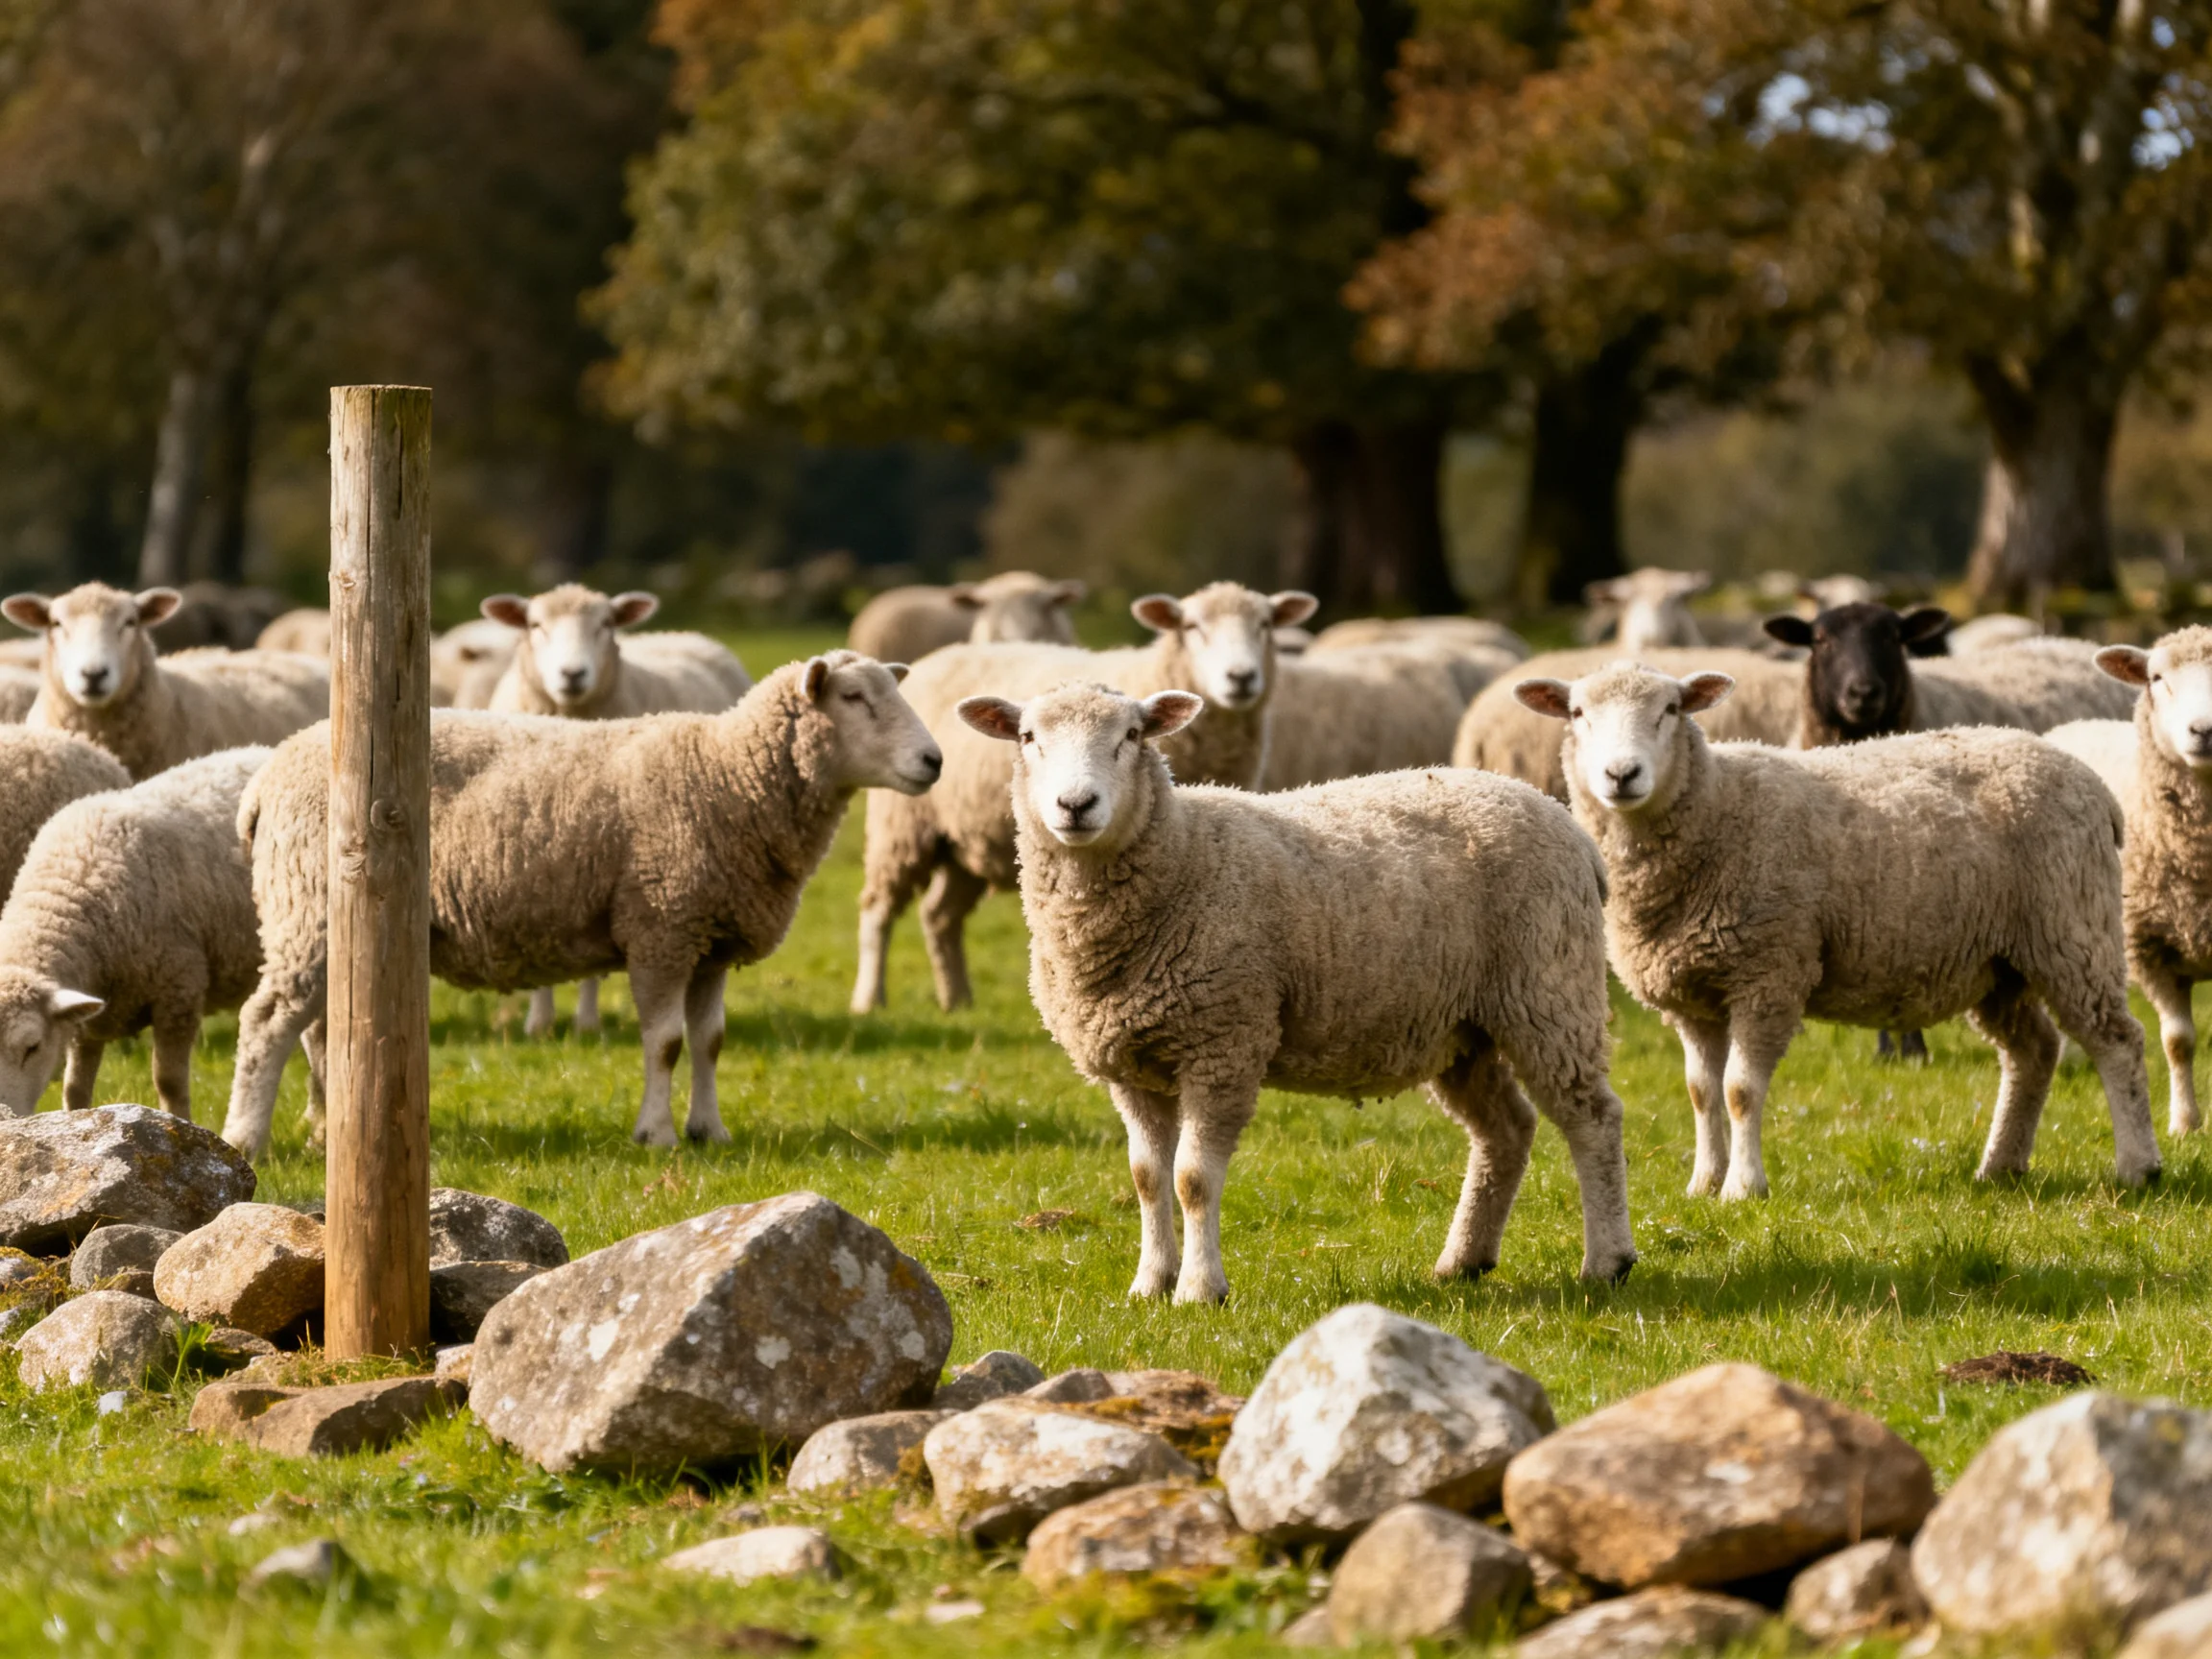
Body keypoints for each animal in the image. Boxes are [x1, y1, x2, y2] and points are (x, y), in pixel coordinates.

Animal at [0, 748, 283, 1124]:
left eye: (32, 1047)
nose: (4, 1115)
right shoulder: (88, 1021)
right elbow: (75, 1088)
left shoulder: (179, 989)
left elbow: (169, 1081)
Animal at [221, 652, 941, 1158]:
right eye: (853, 698)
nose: (934, 760)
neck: (728, 776)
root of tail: (268, 777)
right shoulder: (661, 925)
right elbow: (667, 1043)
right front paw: (657, 1135)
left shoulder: (708, 937)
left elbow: (710, 1042)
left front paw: (709, 1130)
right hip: (308, 906)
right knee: (267, 1023)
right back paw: (245, 1138)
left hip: (323, 924)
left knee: (316, 1029)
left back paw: (325, 1127)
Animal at [850, 582, 1316, 1014]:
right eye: (1192, 627)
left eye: (1265, 625)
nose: (1241, 678)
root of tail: (942, 655)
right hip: (903, 824)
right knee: (877, 911)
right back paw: (870, 999)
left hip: (964, 840)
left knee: (939, 915)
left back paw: (957, 1000)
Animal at [955, 680, 1635, 1301]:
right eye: (1028, 737)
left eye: (1132, 736)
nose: (1076, 804)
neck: (1183, 855)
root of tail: (1568, 825)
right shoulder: (1131, 1062)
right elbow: (1147, 1177)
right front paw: (1149, 1284)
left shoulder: (1225, 1042)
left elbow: (1192, 1179)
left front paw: (1200, 1289)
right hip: (1463, 1027)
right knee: (1506, 1129)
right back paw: (1463, 1261)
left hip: (1549, 989)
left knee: (1592, 1118)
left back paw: (1607, 1262)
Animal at [1515, 662, 2161, 1198]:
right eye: (1577, 713)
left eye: (1670, 710)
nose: (1621, 774)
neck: (1717, 809)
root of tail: (2092, 783)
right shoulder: (1692, 994)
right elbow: (1700, 1092)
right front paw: (1703, 1183)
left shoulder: (1769, 972)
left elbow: (1739, 1090)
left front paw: (1743, 1189)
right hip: (2000, 962)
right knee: (2034, 1051)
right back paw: (2001, 1165)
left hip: (2072, 928)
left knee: (2117, 1040)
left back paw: (2138, 1166)